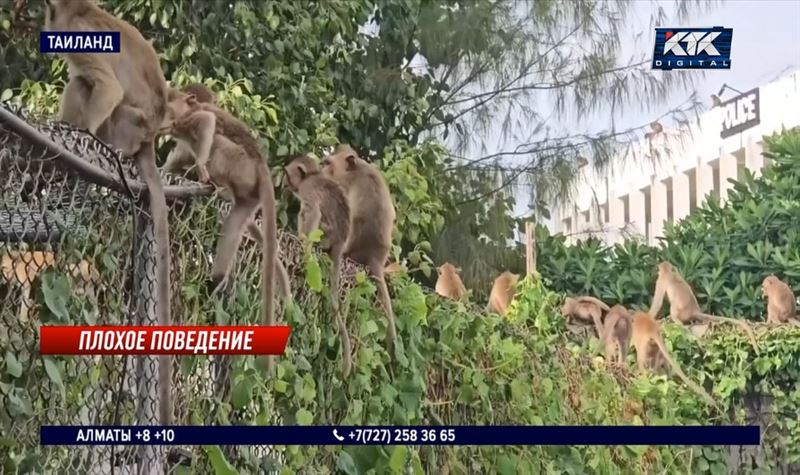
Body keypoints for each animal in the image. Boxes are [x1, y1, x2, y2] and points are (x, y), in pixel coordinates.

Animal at [284, 154, 354, 378]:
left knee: (307, 213)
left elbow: (313, 212)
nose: (287, 185)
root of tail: (340, 240)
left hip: (325, 234)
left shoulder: (307, 188)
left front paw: (304, 244)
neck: (313, 174)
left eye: (288, 174)